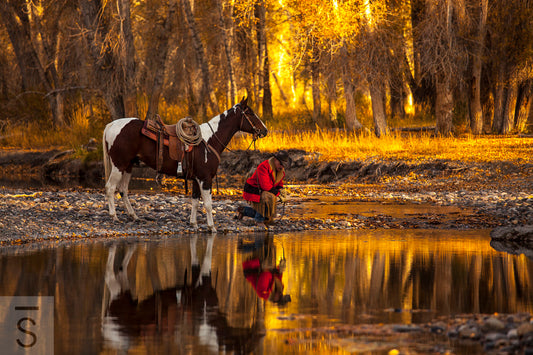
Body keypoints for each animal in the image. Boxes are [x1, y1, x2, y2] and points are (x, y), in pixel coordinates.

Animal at [101, 97, 266, 234]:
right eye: (250, 113)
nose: (265, 130)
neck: (209, 140)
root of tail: (110, 125)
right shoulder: (205, 179)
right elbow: (208, 204)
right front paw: (211, 227)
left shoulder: (196, 179)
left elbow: (195, 201)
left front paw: (194, 224)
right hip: (119, 165)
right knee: (110, 188)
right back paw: (114, 216)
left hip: (128, 167)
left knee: (123, 190)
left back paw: (134, 216)